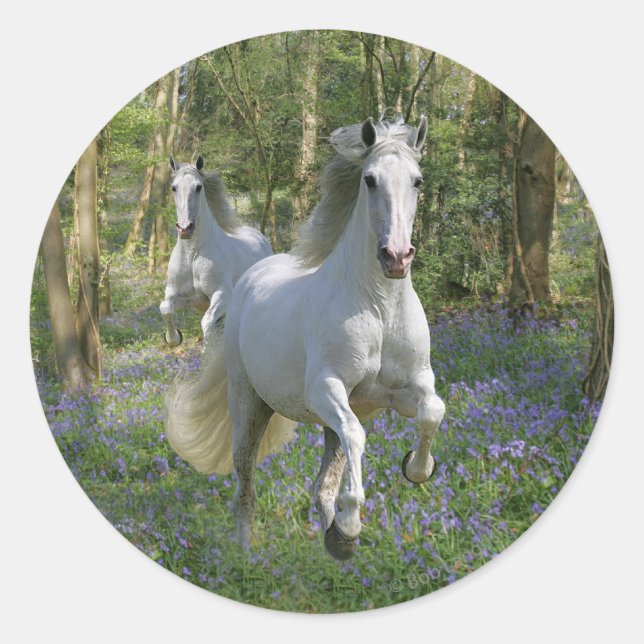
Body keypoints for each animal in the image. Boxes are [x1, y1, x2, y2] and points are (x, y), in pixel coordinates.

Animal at [160, 156, 272, 346]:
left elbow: (207, 323)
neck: (192, 255)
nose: (185, 229)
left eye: (198, 187)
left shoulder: (222, 294)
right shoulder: (178, 294)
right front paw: (174, 338)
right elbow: (166, 308)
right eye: (174, 187)